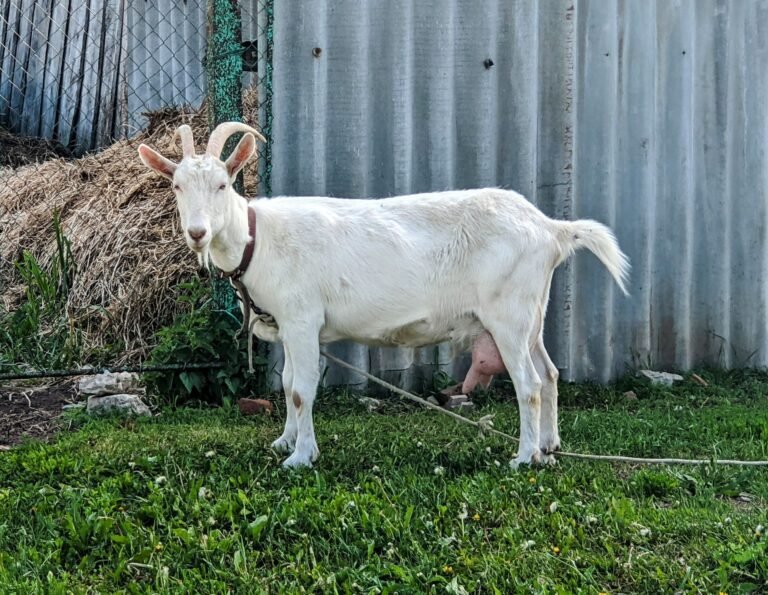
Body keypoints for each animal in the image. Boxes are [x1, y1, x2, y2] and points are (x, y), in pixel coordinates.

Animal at [138, 122, 630, 468]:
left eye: (223, 185)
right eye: (177, 186)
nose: (197, 233)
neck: (258, 239)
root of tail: (550, 228)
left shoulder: (302, 319)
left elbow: (301, 390)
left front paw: (300, 458)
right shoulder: (290, 325)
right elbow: (287, 382)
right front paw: (285, 441)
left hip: (508, 315)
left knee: (528, 383)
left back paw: (524, 457)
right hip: (532, 313)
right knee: (549, 374)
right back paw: (550, 445)